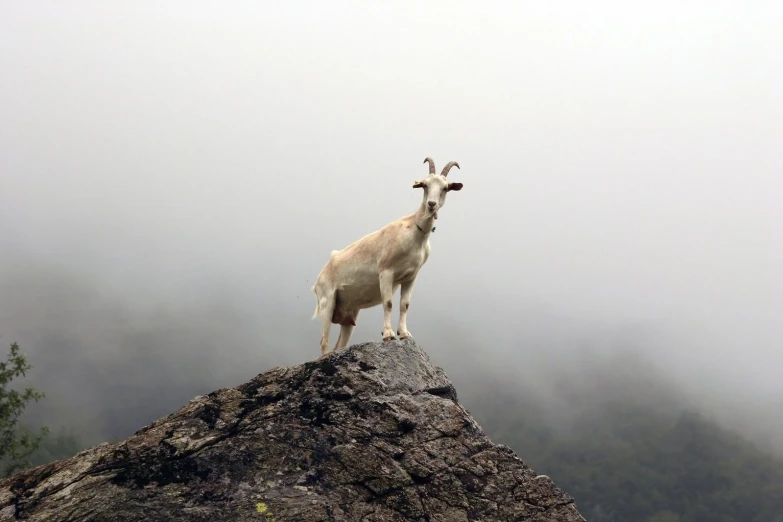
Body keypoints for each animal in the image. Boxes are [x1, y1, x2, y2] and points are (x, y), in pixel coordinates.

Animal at [310, 156, 466, 356]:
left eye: (445, 188)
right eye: (424, 185)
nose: (431, 204)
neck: (413, 233)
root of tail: (318, 280)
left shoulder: (411, 277)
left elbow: (404, 304)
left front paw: (404, 333)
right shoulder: (386, 271)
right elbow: (388, 302)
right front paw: (388, 334)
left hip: (349, 313)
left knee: (340, 343)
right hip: (326, 301)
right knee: (324, 341)